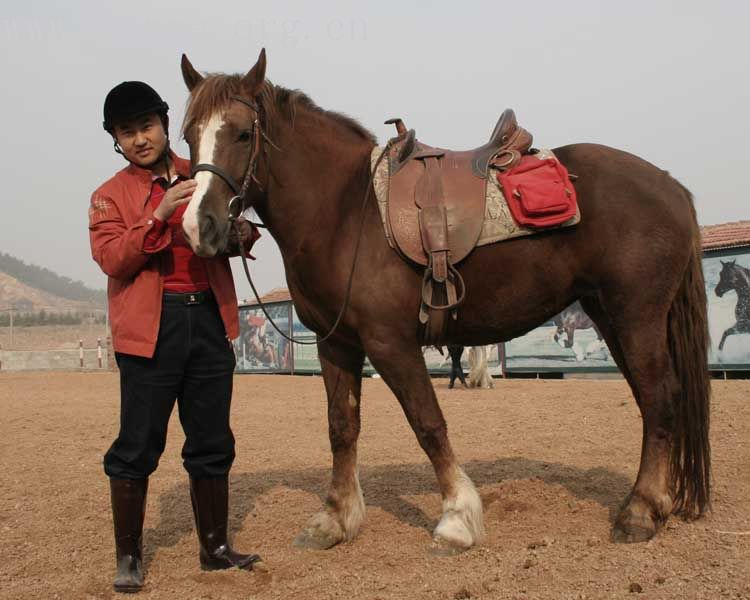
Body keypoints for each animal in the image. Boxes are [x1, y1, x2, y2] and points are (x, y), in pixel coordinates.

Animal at [176, 49, 712, 552]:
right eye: (188, 136)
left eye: (242, 134)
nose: (199, 226)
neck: (345, 212)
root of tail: (671, 186)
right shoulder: (338, 344)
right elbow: (341, 427)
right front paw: (335, 519)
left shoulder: (389, 342)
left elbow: (428, 423)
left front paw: (457, 517)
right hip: (611, 316)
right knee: (651, 401)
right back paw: (656, 502)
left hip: (636, 316)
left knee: (660, 398)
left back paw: (639, 512)